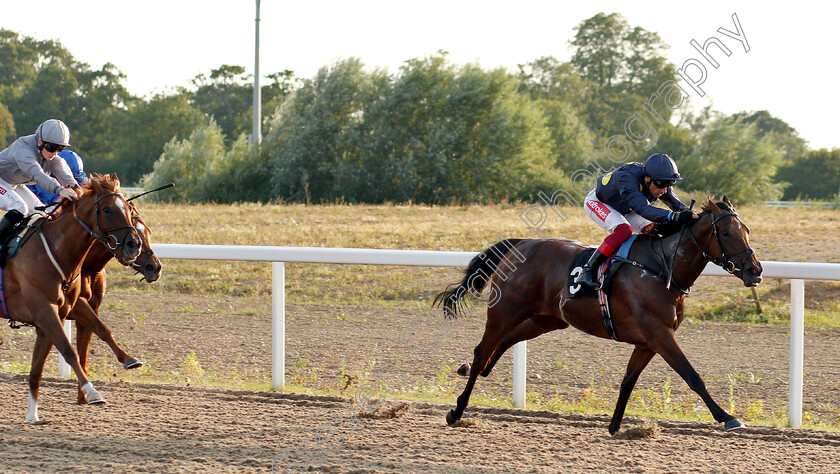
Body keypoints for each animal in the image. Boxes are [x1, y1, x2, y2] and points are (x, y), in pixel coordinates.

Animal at [2, 174, 140, 422]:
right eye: (106, 209)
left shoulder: (58, 314)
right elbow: (68, 350)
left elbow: (37, 369)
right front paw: (92, 392)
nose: (133, 245)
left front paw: (32, 416)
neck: (56, 252)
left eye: (127, 207)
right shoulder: (45, 311)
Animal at [436, 195, 764, 434]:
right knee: (483, 351)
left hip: (547, 319)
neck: (661, 268)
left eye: (747, 230)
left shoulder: (647, 343)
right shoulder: (660, 335)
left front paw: (615, 425)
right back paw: (457, 409)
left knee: (501, 345)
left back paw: (469, 369)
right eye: (725, 233)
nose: (755, 271)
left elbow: (628, 382)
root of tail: (521, 243)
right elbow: (692, 375)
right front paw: (727, 417)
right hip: (504, 311)